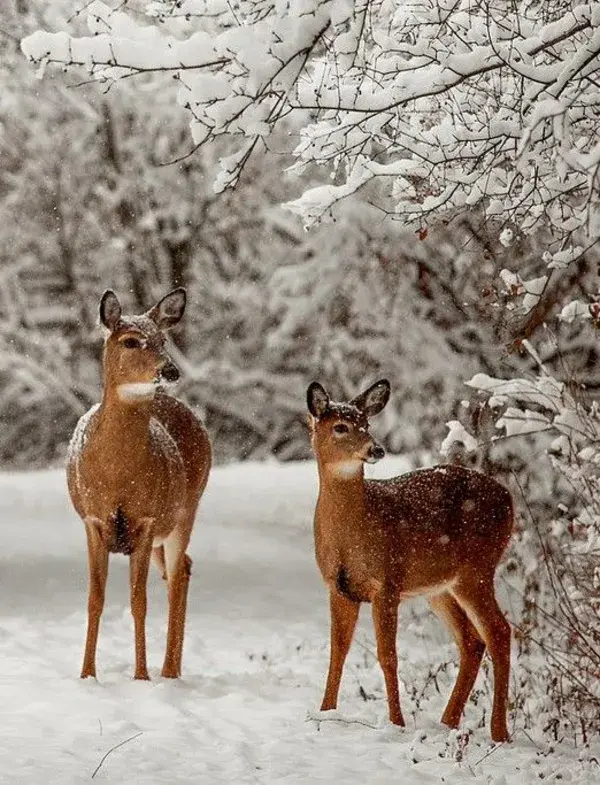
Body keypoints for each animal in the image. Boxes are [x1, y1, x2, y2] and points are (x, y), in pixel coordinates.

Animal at [67, 288, 211, 680]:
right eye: (131, 340)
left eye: (163, 341)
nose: (170, 370)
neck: (117, 473)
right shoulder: (92, 519)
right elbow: (95, 599)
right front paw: (87, 675)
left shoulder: (146, 519)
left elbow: (139, 600)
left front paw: (141, 676)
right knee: (185, 568)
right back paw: (171, 668)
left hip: (185, 512)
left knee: (177, 577)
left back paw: (168, 672)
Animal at [308, 380, 512, 740]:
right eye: (340, 426)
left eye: (367, 424)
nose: (376, 449)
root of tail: (510, 501)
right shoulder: (338, 586)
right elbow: (337, 652)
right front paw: (325, 713)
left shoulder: (387, 581)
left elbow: (388, 655)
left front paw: (396, 723)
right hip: (440, 587)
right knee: (472, 641)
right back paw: (448, 722)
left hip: (477, 568)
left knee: (500, 633)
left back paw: (499, 732)